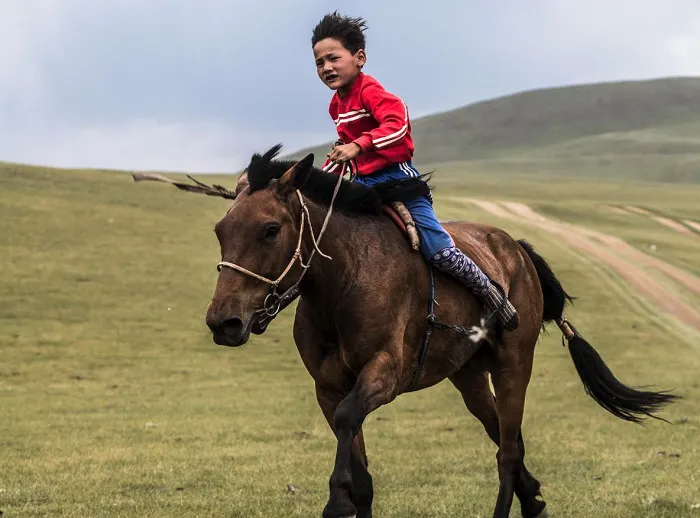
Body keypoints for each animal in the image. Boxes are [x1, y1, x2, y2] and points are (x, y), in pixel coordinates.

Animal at [134, 145, 678, 518]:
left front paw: (335, 503)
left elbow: (352, 426)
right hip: (468, 377)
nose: (224, 322)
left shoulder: (386, 374)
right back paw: (535, 500)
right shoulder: (328, 388)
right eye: (221, 230)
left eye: (270, 229)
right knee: (503, 436)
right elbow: (358, 459)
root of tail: (516, 248)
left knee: (507, 451)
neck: (343, 282)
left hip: (513, 366)